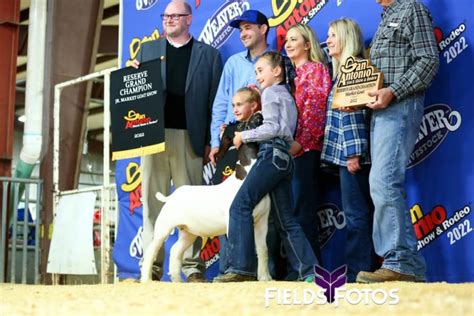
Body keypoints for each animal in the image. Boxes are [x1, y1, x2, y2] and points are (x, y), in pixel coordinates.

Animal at [141, 133, 270, 282]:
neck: (245, 177)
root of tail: (170, 197)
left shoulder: (262, 222)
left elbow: (263, 250)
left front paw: (266, 278)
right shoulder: (234, 221)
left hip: (188, 232)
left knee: (175, 250)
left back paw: (177, 280)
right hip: (163, 228)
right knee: (151, 251)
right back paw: (146, 279)